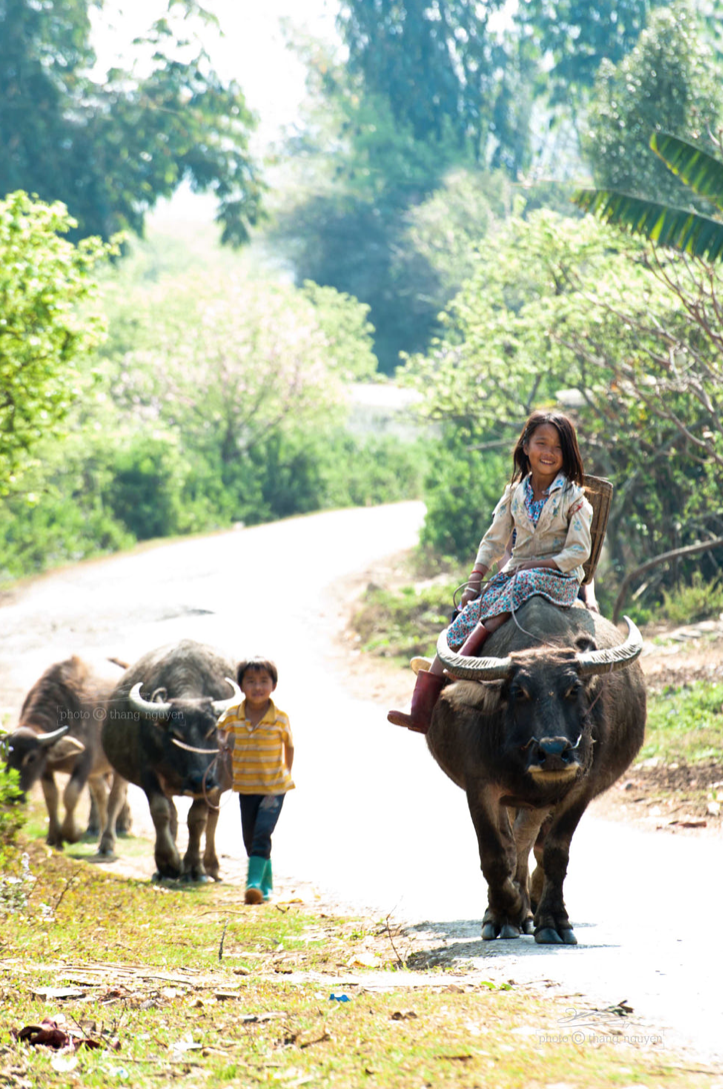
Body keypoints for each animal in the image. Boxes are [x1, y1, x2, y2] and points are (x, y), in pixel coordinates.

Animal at [2, 653, 127, 849]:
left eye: (31, 758)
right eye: (6, 756)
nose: (11, 796)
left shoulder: (84, 764)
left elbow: (70, 795)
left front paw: (72, 833)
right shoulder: (47, 768)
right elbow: (51, 797)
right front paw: (54, 836)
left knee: (115, 797)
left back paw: (108, 841)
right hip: (97, 770)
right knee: (102, 794)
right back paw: (100, 832)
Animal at [99, 640, 238, 879]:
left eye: (212, 731)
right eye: (176, 735)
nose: (199, 779)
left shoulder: (211, 779)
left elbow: (197, 819)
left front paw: (194, 867)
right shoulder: (148, 773)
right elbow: (160, 811)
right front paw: (168, 862)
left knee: (212, 817)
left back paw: (211, 865)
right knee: (121, 799)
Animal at [426, 596, 644, 945]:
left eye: (574, 689)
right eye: (519, 692)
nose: (554, 752)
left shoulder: (580, 787)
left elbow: (554, 852)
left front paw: (553, 921)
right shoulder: (480, 786)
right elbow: (495, 854)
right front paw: (505, 912)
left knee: (531, 845)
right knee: (516, 844)